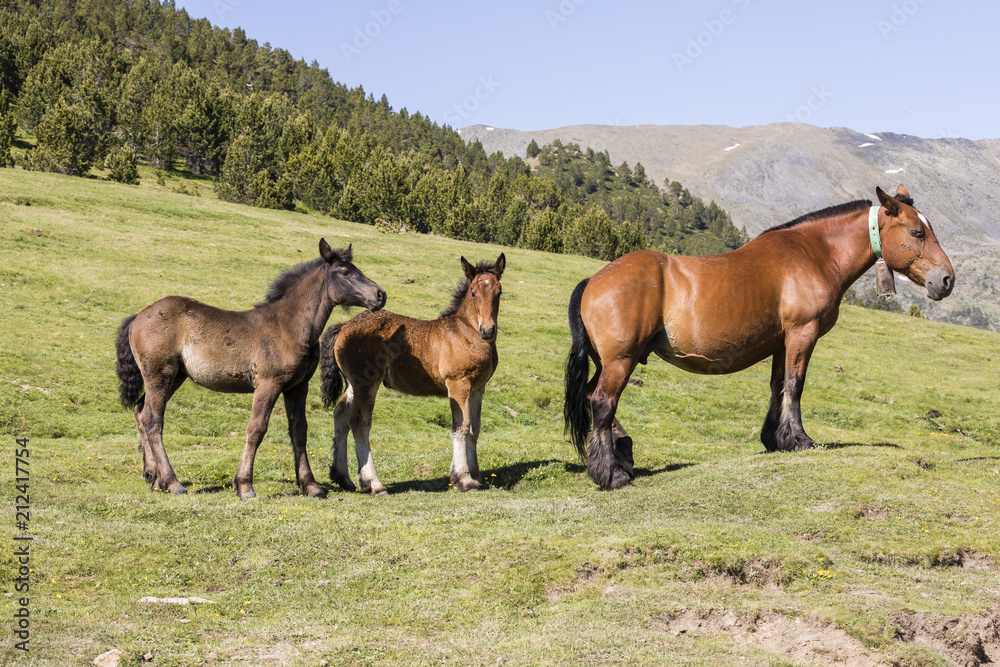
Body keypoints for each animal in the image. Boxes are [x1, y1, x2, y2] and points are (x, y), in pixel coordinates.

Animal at [115, 237, 384, 498]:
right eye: (345, 272)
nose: (380, 294)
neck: (289, 326)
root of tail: (138, 316)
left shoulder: (297, 387)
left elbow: (299, 431)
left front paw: (311, 486)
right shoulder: (268, 384)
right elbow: (256, 429)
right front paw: (244, 486)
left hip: (176, 376)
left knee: (140, 409)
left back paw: (154, 477)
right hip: (161, 374)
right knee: (152, 419)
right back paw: (173, 483)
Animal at [320, 256, 504, 496]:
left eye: (499, 292)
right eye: (473, 292)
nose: (488, 330)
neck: (467, 334)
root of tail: (344, 326)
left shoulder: (478, 388)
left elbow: (475, 428)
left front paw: (476, 476)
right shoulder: (458, 384)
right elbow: (461, 427)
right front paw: (464, 479)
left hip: (353, 383)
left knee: (341, 415)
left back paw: (343, 477)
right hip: (367, 383)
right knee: (359, 422)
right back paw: (374, 483)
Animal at [568, 188, 956, 490]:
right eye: (917, 231)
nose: (947, 279)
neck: (814, 253)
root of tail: (594, 280)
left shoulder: (782, 342)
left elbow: (778, 386)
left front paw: (776, 438)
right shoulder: (802, 333)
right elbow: (795, 385)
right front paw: (799, 439)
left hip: (609, 361)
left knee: (591, 396)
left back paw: (621, 454)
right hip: (621, 360)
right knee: (603, 402)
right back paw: (612, 473)